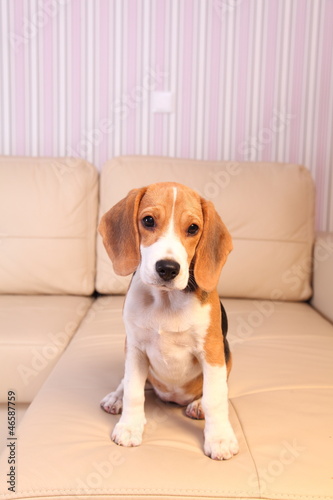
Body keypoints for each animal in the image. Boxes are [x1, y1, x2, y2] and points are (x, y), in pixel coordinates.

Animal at [98, 182, 239, 458]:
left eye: (193, 228)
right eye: (148, 221)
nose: (167, 268)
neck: (166, 301)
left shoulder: (213, 351)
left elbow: (216, 398)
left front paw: (219, 438)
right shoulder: (135, 348)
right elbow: (133, 391)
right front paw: (129, 427)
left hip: (228, 357)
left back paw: (197, 405)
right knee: (127, 383)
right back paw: (116, 398)